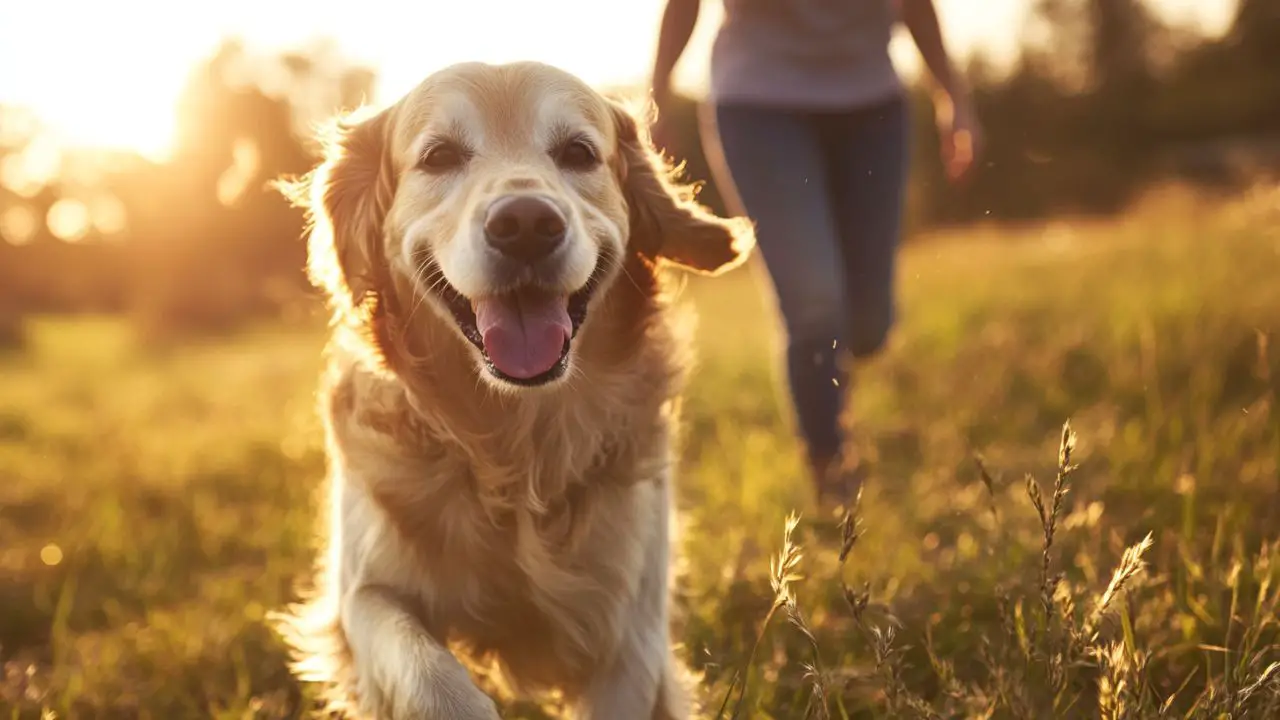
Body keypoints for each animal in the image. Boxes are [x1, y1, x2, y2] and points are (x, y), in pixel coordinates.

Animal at [270, 61, 747, 717]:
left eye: (578, 153)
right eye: (440, 156)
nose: (525, 225)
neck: (514, 449)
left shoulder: (632, 625)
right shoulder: (361, 594)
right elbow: (428, 673)